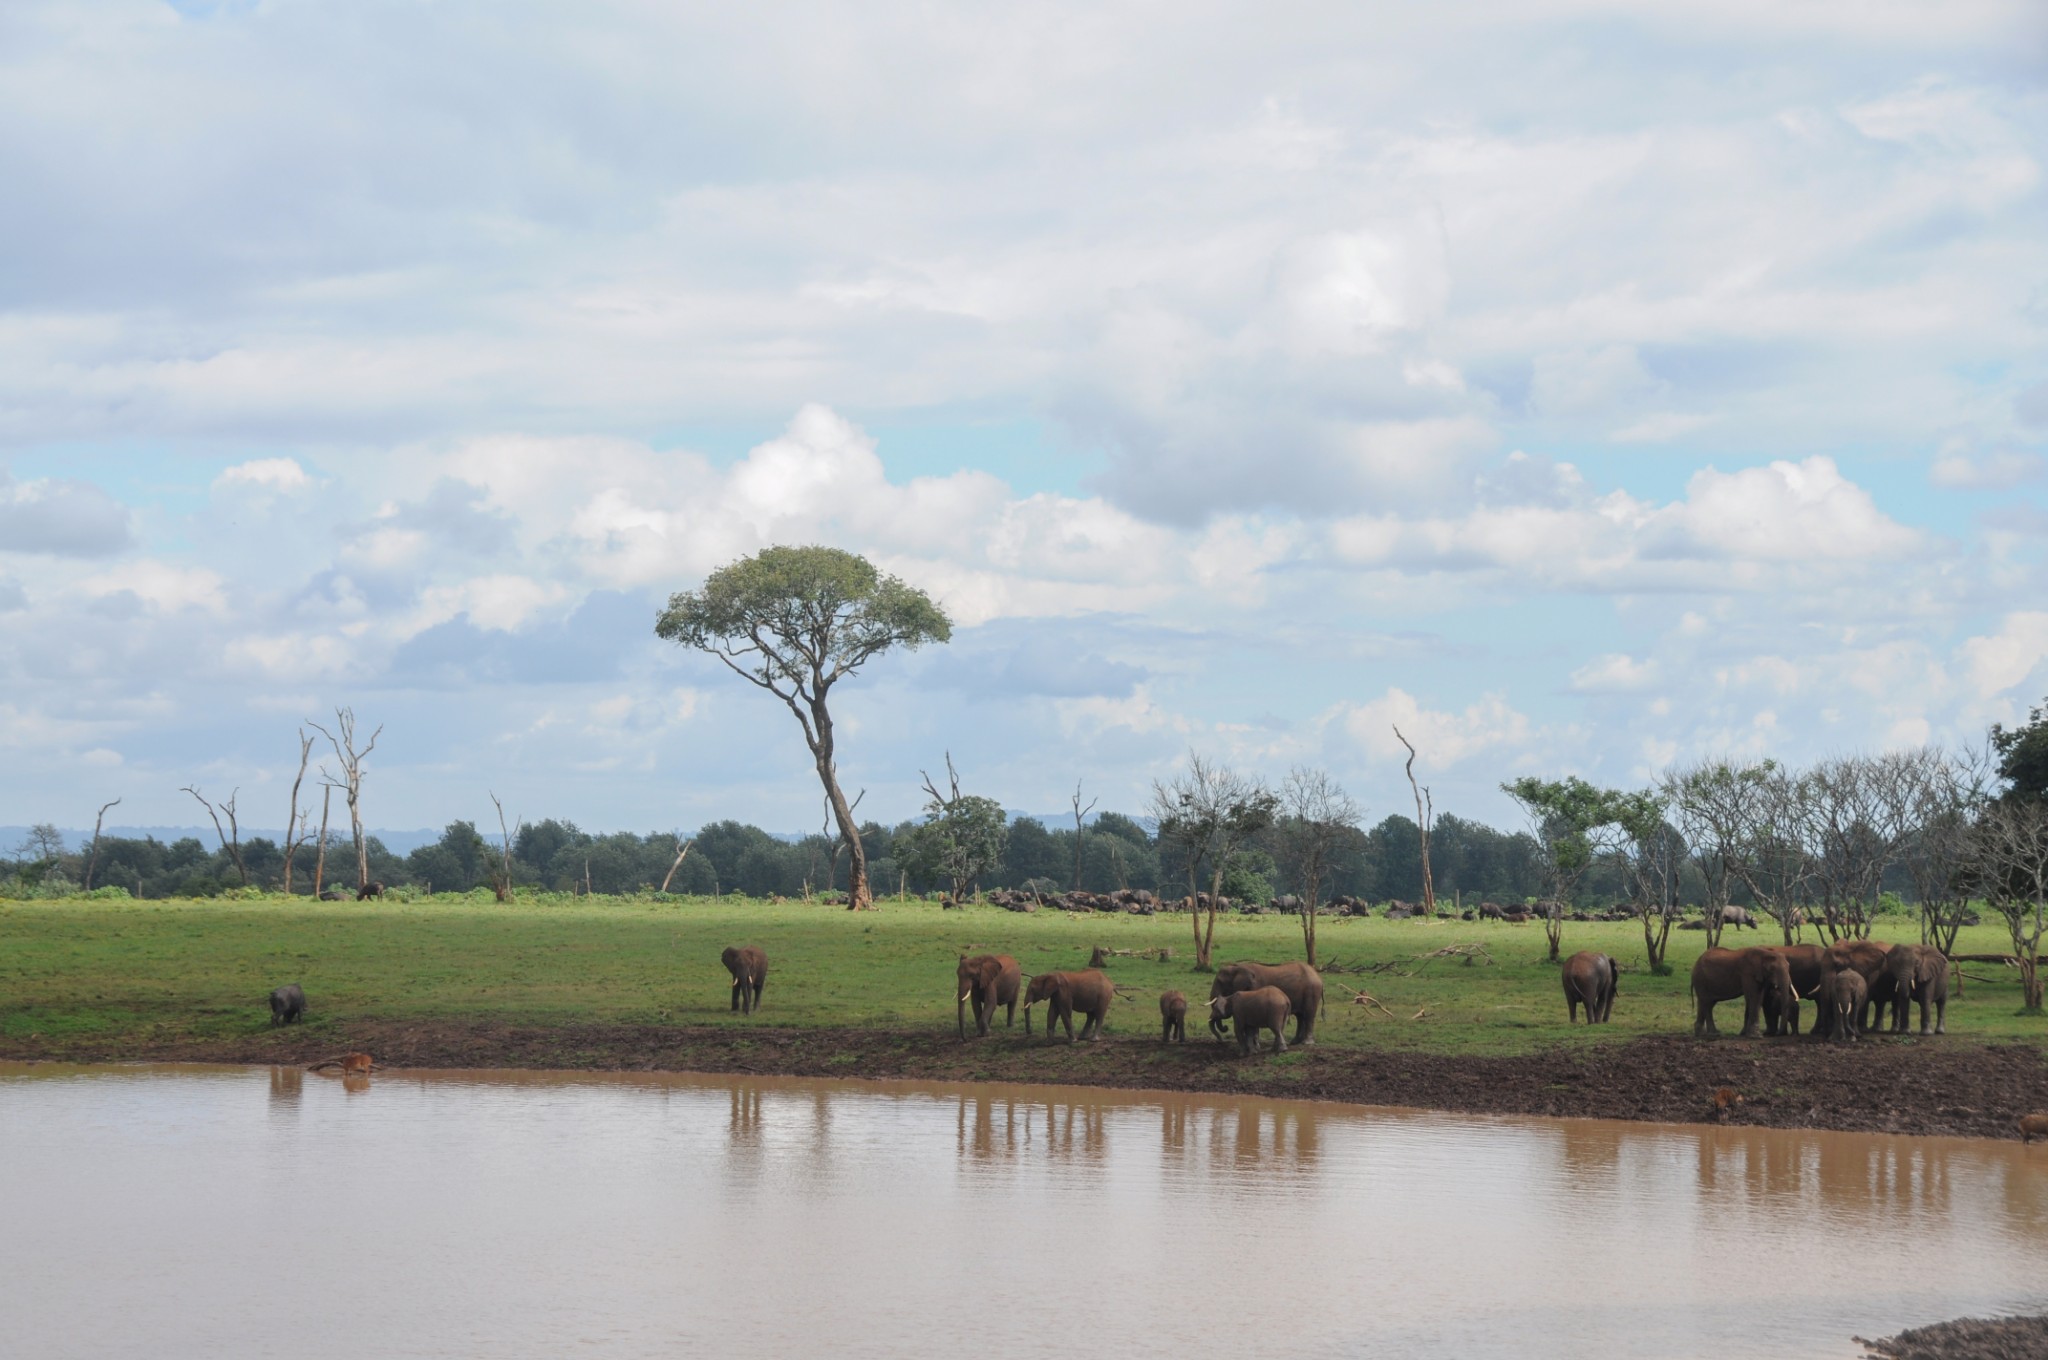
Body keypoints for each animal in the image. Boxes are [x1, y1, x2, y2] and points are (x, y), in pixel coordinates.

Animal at [1196, 962, 1327, 1044]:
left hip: (1311, 991)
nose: (1222, 1041)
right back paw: (1294, 1042)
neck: (1238, 967)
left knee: (1309, 1015)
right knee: (1300, 1016)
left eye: (1220, 982)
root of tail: (1317, 975)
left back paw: (1307, 1043)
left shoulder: (1254, 987)